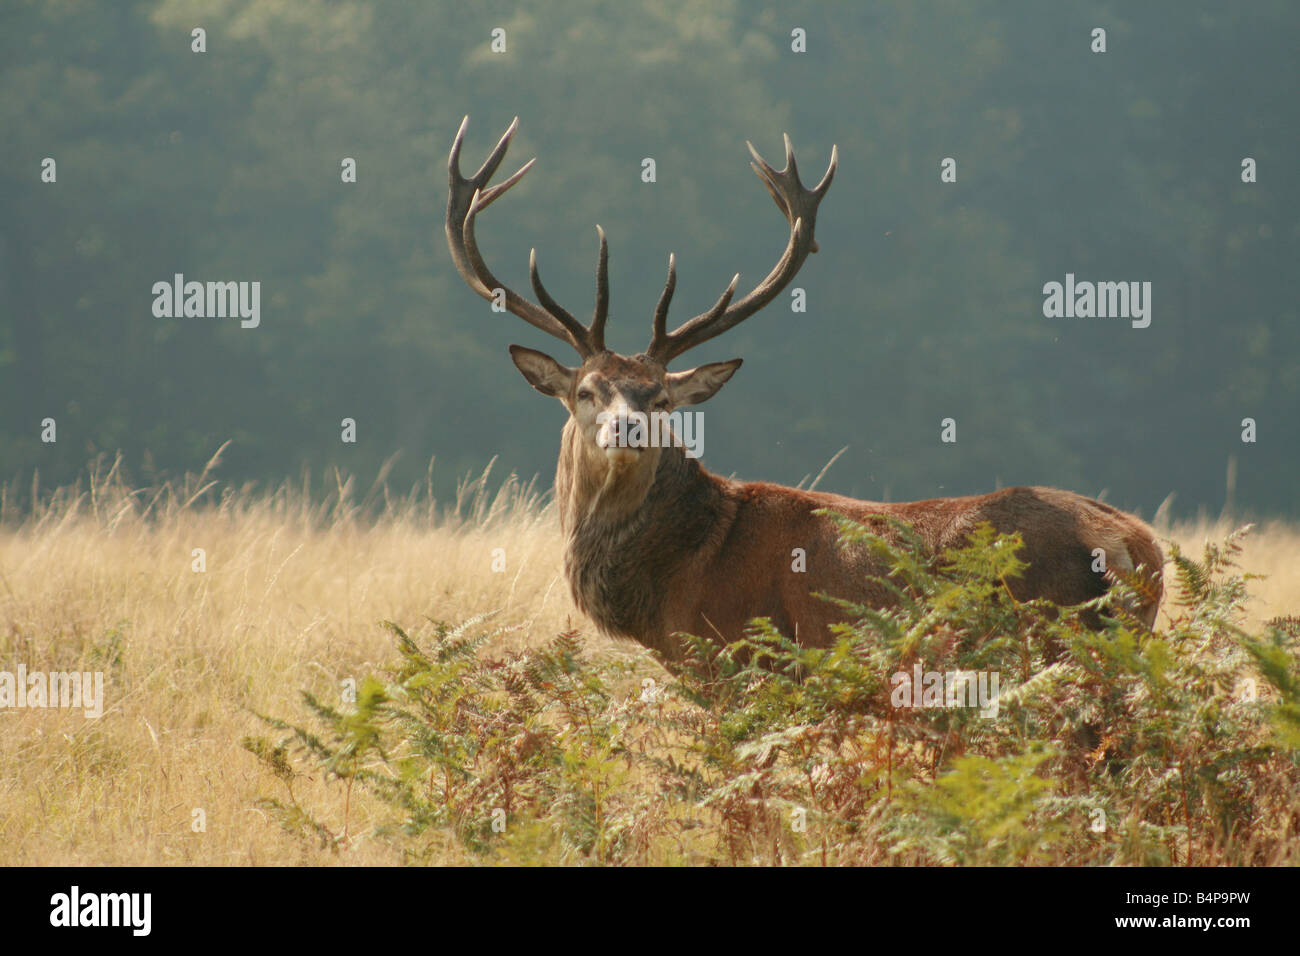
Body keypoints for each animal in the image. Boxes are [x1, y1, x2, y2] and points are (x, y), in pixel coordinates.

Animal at [445, 117, 1163, 674]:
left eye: (659, 398)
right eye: (587, 391)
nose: (627, 428)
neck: (670, 581)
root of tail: (1139, 547)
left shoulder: (738, 660)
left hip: (1057, 634)